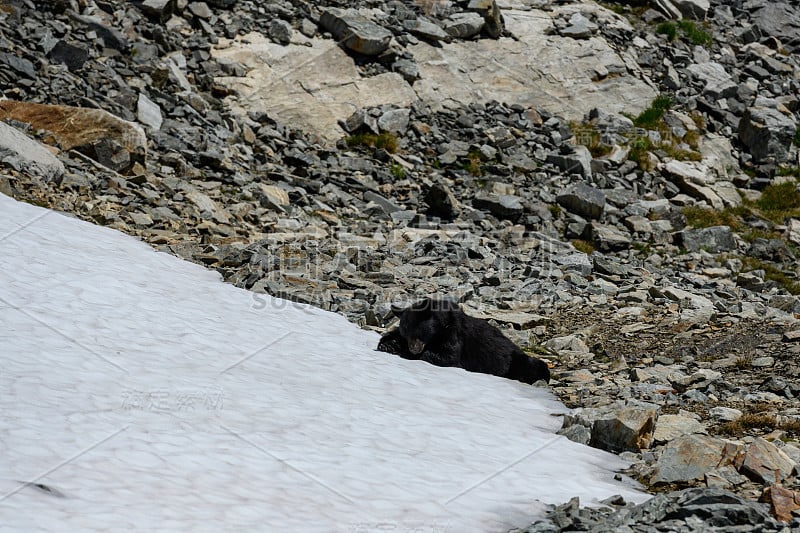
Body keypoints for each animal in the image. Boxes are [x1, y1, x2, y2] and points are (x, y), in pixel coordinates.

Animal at [376, 300, 552, 382]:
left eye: (420, 331)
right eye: (406, 331)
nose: (414, 349)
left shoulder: (454, 334)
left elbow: (448, 356)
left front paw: (407, 353)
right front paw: (388, 345)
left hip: (516, 360)